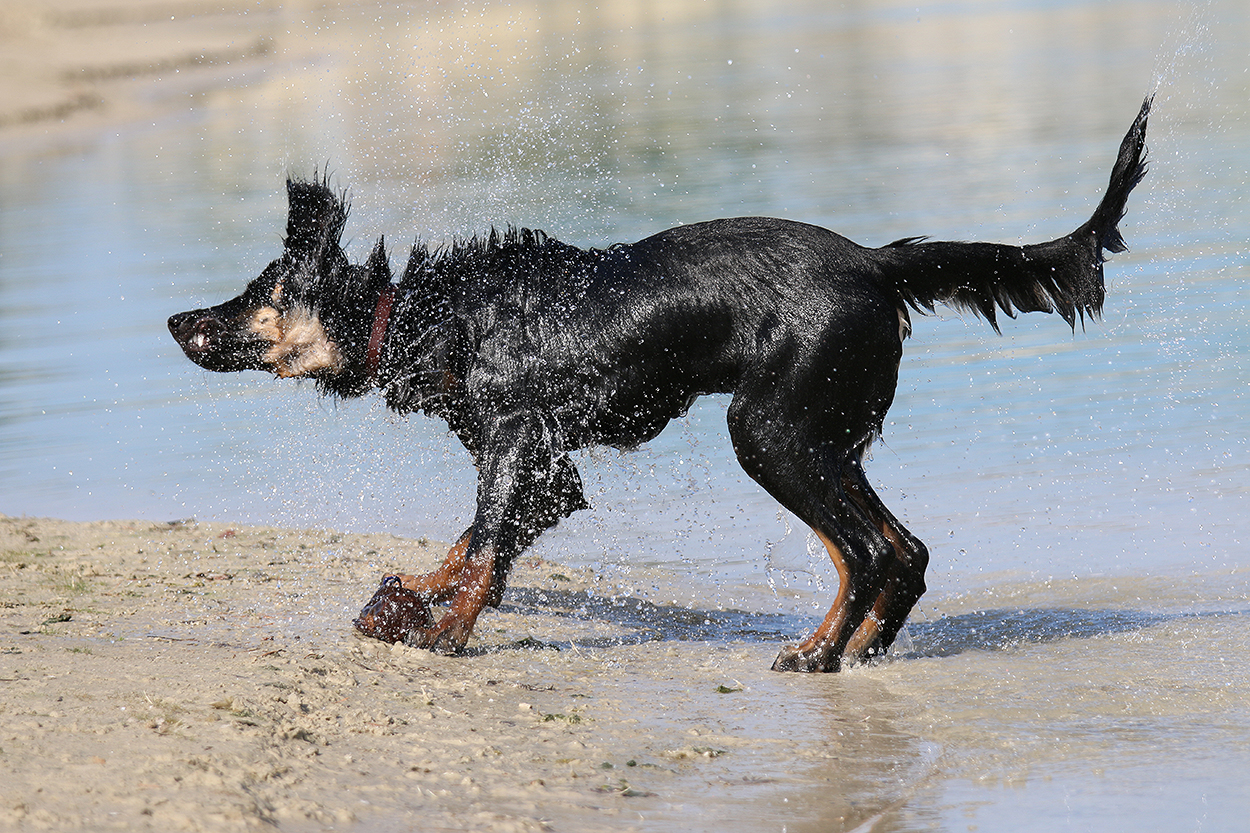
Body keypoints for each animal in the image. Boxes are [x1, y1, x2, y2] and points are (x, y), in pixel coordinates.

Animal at [169, 98, 1149, 671]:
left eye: (254, 293)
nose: (177, 321)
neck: (432, 315)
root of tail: (876, 263)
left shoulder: (519, 447)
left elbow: (479, 550)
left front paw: (444, 632)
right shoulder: (548, 473)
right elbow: (468, 546)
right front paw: (403, 603)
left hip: (770, 432)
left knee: (872, 551)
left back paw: (819, 652)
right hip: (817, 434)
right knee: (898, 552)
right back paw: (848, 649)